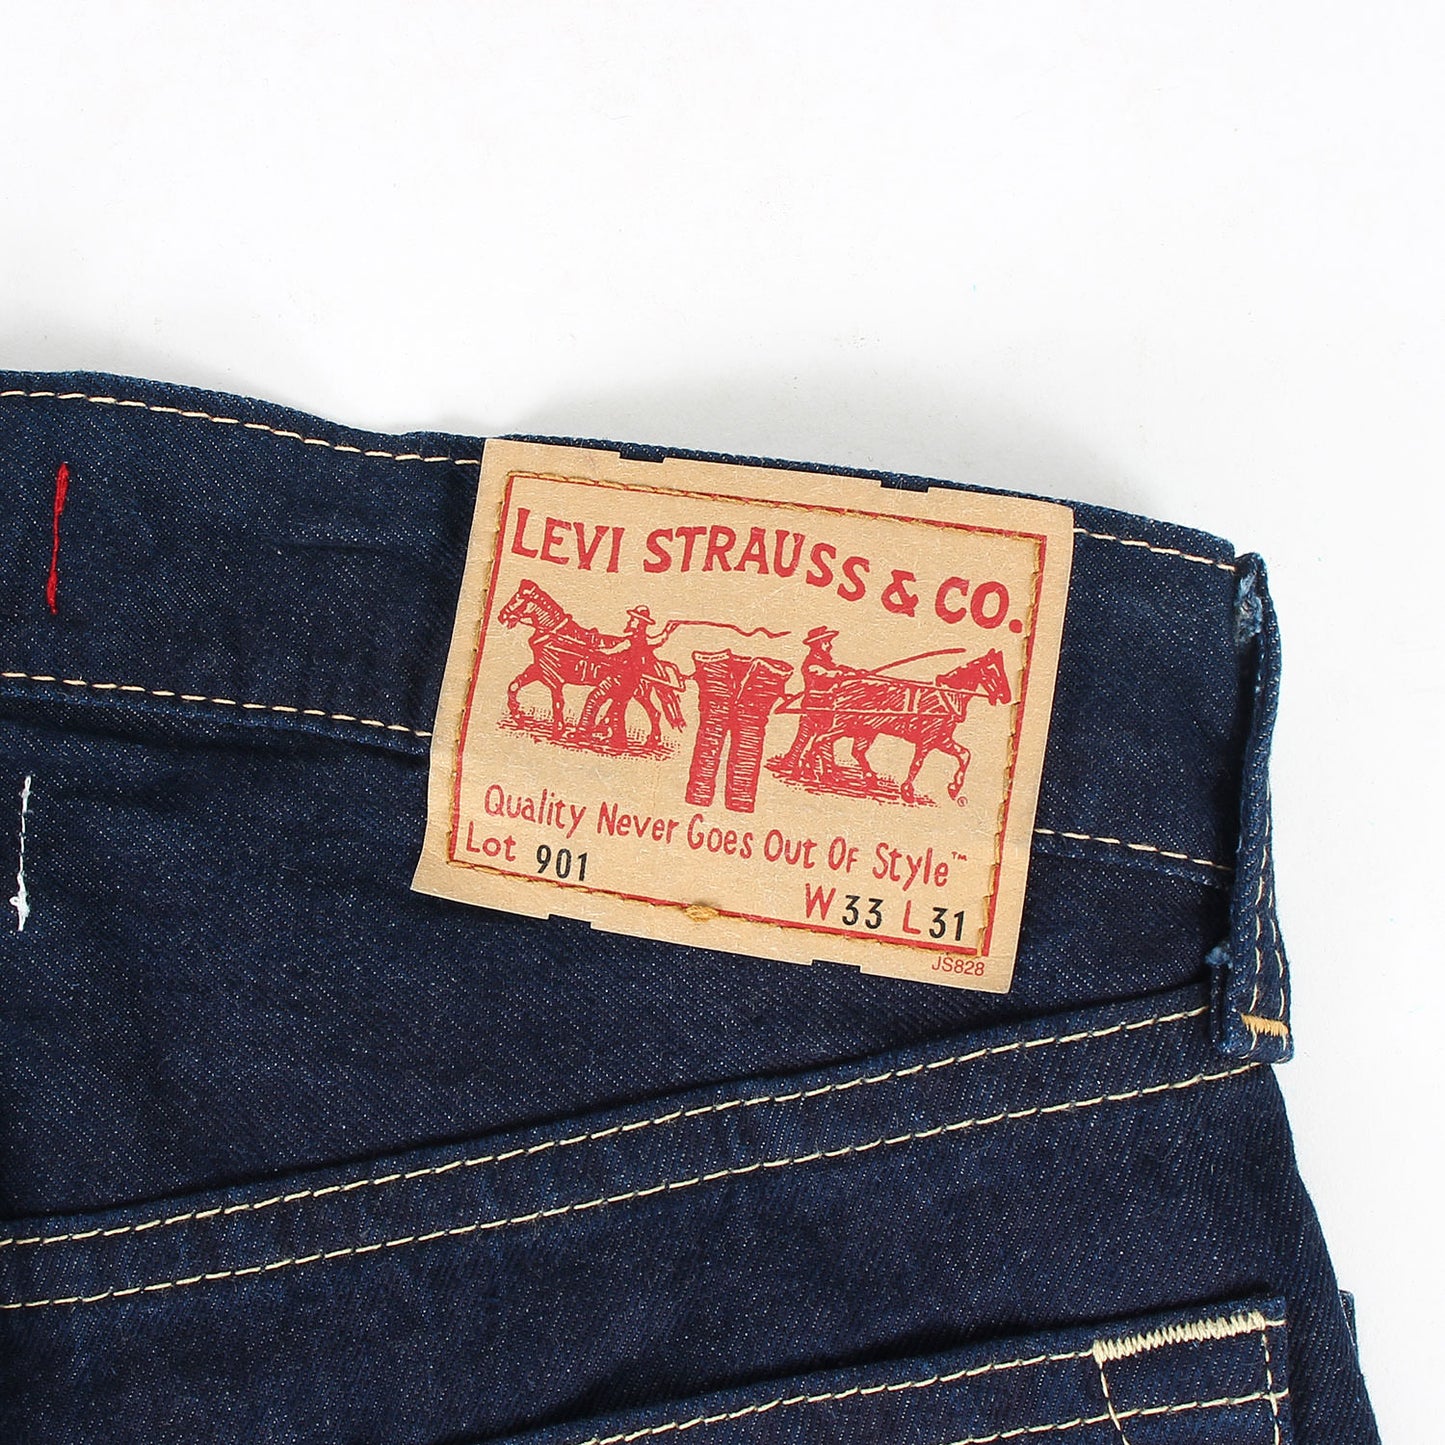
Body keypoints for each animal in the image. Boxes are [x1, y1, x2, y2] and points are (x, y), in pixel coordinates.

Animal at [496, 579, 683, 745]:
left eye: (518, 598)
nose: (501, 616)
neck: (556, 636)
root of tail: (652, 659)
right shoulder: (540, 670)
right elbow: (514, 685)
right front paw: (517, 714)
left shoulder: (554, 679)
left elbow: (558, 703)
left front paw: (559, 731)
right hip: (636, 693)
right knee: (644, 712)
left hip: (635, 691)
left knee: (643, 711)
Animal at [794, 649, 1011, 804]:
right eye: (992, 671)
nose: (1007, 697)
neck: (946, 696)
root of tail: (842, 686)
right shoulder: (927, 740)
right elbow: (917, 763)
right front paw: (907, 791)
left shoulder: (942, 739)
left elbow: (965, 754)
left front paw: (954, 787)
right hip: (846, 724)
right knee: (821, 739)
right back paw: (811, 770)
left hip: (865, 730)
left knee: (853, 750)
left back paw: (863, 778)